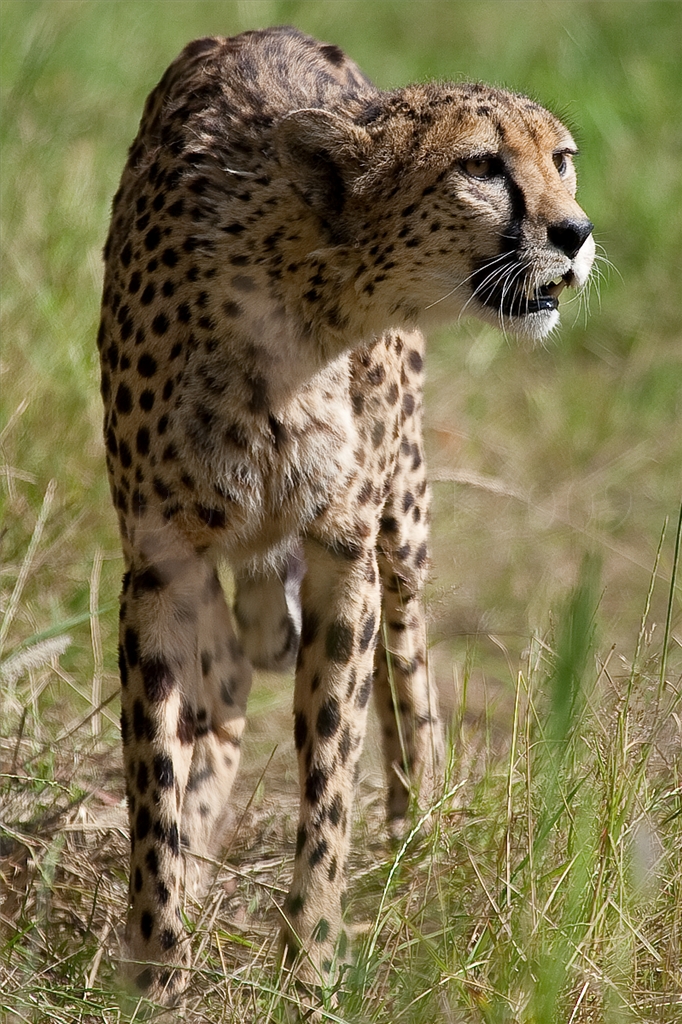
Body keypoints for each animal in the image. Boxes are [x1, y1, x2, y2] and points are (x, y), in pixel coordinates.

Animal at [97, 25, 594, 1003]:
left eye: (561, 160)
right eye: (482, 166)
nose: (576, 232)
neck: (305, 306)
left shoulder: (343, 550)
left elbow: (331, 761)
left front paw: (312, 960)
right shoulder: (161, 559)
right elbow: (154, 768)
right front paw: (157, 962)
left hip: (402, 523)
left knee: (409, 669)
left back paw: (414, 824)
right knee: (229, 670)